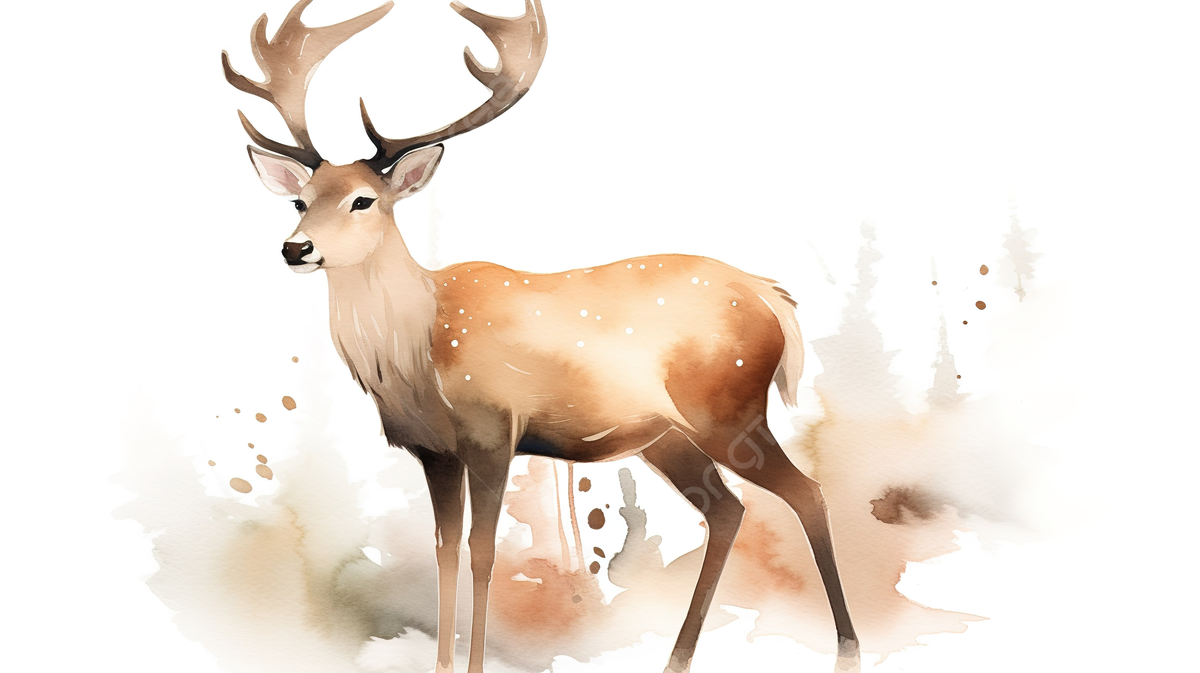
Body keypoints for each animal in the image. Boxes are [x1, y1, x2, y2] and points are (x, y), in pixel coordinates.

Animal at [221, 1, 859, 671]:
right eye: (300, 201)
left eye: (364, 200)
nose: (296, 249)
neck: (416, 359)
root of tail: (771, 298)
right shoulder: (434, 450)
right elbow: (445, 550)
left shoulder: (493, 430)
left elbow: (481, 553)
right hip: (665, 435)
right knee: (728, 509)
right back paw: (678, 657)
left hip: (729, 406)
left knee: (806, 492)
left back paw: (847, 646)